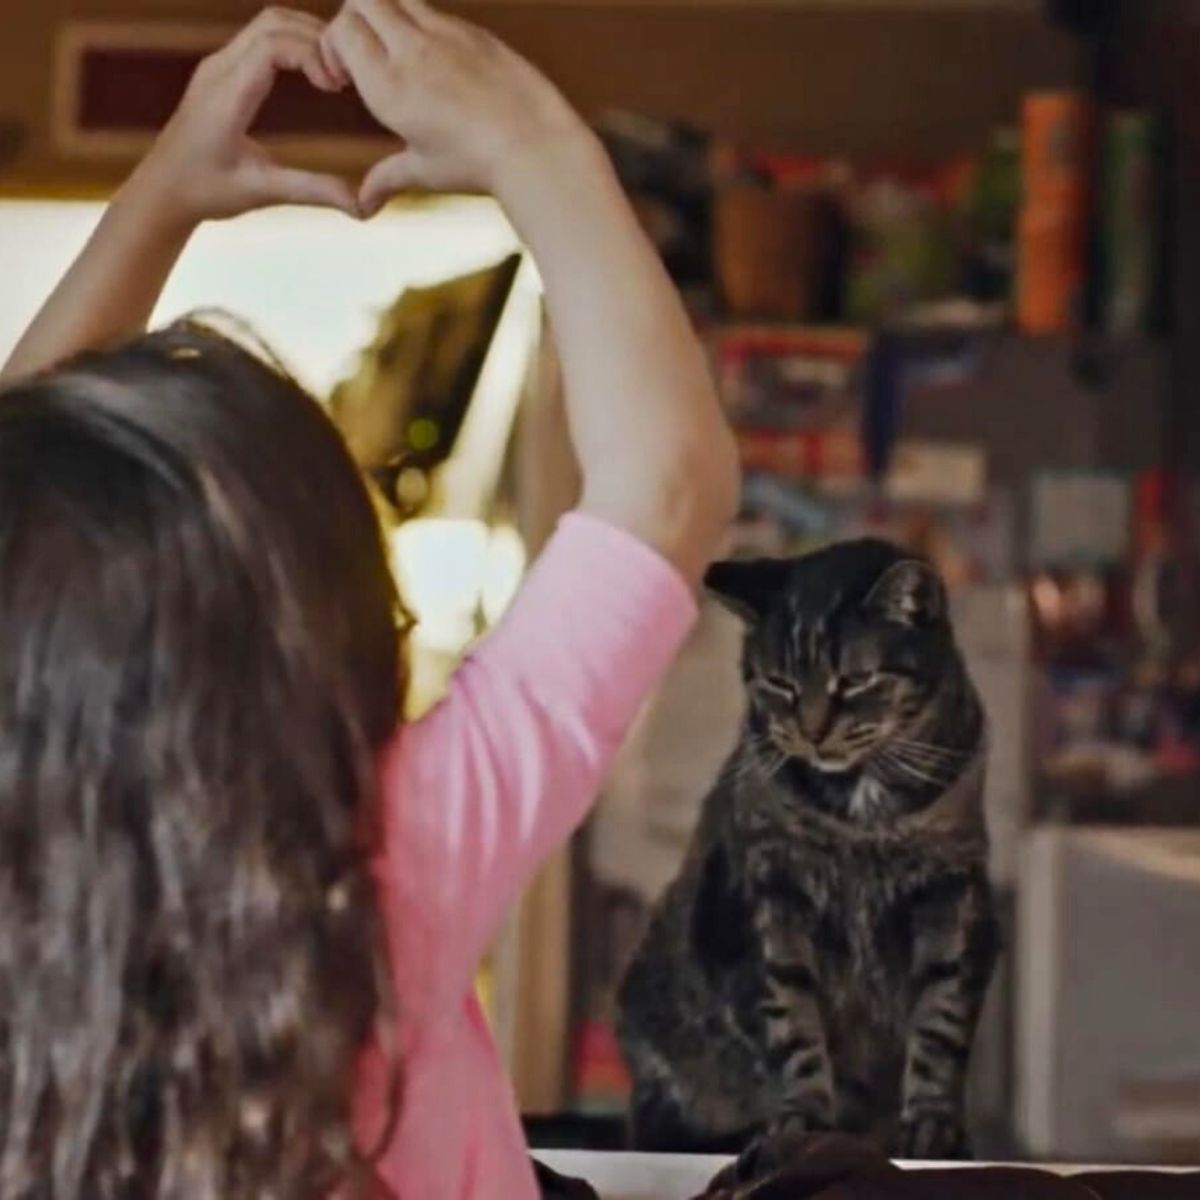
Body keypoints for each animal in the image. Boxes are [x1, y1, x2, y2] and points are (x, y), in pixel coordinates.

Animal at [614, 540, 998, 1176]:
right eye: (780, 683)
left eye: (856, 680)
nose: (813, 732)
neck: (862, 816)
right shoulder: (772, 898)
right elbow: (793, 1021)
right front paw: (805, 1125)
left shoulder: (952, 894)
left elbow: (940, 1020)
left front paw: (933, 1127)